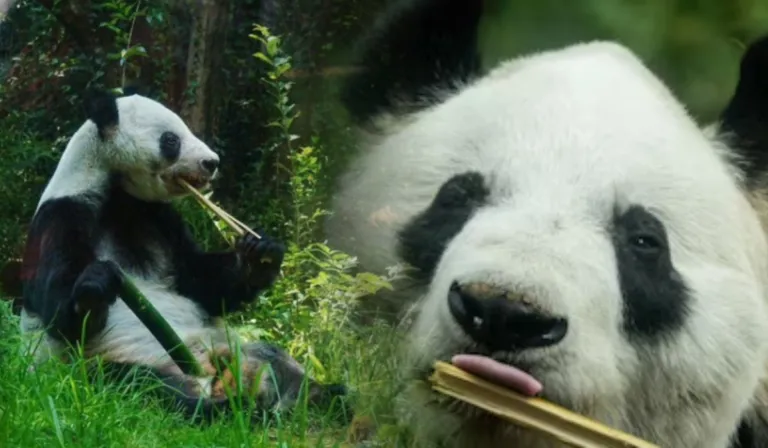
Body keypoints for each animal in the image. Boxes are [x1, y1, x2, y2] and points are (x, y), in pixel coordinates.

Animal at [18, 88, 348, 422]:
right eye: (171, 140)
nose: (211, 162)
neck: (116, 190)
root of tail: (210, 371)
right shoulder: (64, 214)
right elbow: (61, 315)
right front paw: (97, 283)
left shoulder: (158, 218)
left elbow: (200, 282)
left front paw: (260, 255)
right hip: (108, 365)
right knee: (144, 386)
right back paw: (226, 408)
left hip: (232, 346)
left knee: (275, 357)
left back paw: (321, 396)